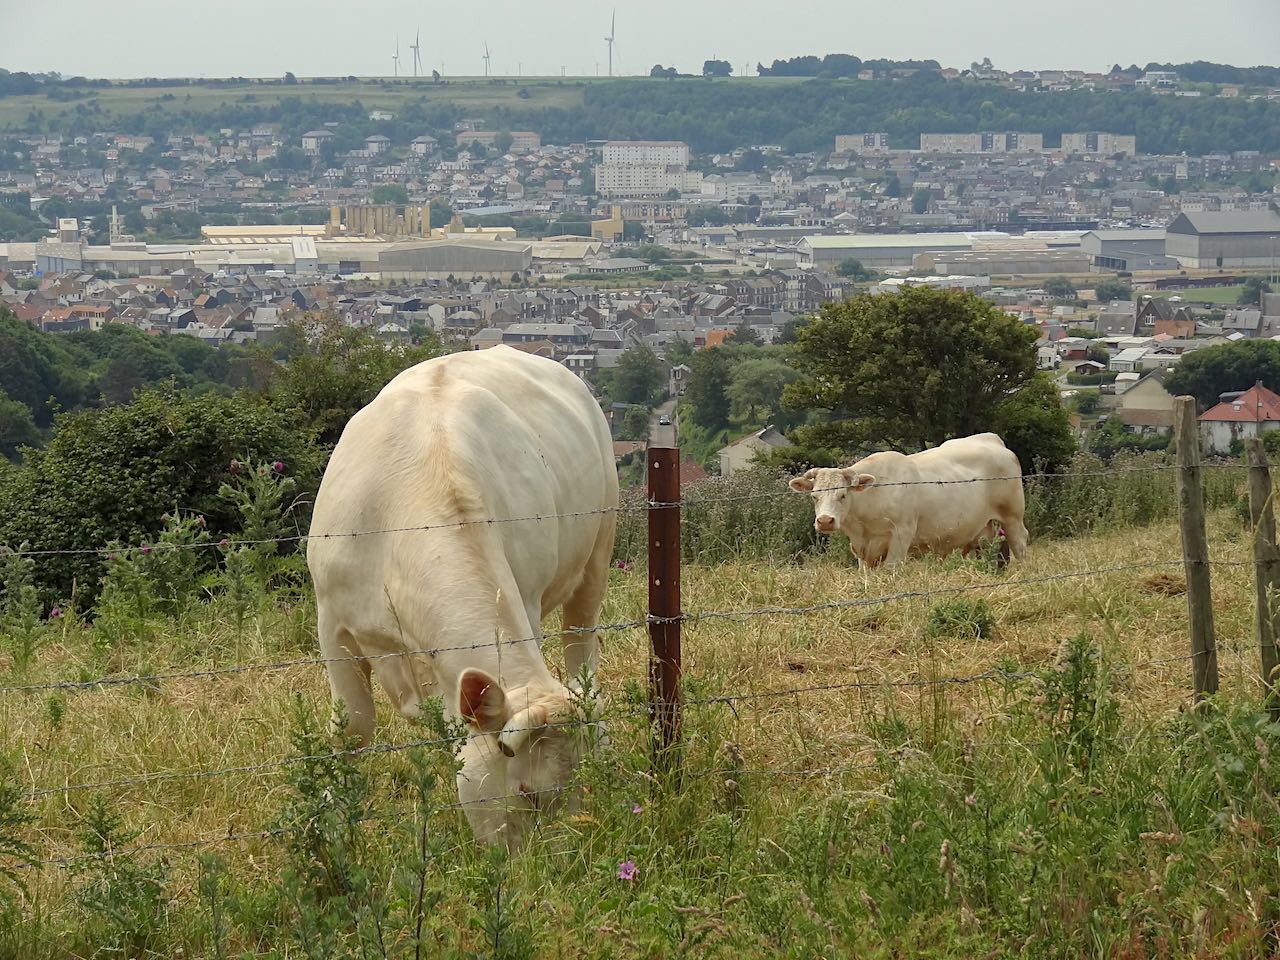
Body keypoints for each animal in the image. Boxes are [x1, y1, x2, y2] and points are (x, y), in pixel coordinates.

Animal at [304, 345, 614, 849]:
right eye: (527, 793)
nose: (558, 862)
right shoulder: (333, 621)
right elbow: (351, 726)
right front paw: (332, 824)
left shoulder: (525, 601)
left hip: (597, 558)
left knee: (580, 646)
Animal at [788, 432, 1029, 568]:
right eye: (814, 496)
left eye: (843, 495)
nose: (825, 521)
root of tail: (992, 439)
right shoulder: (863, 551)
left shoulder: (901, 534)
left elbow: (891, 569)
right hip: (980, 529)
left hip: (1013, 516)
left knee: (1019, 544)